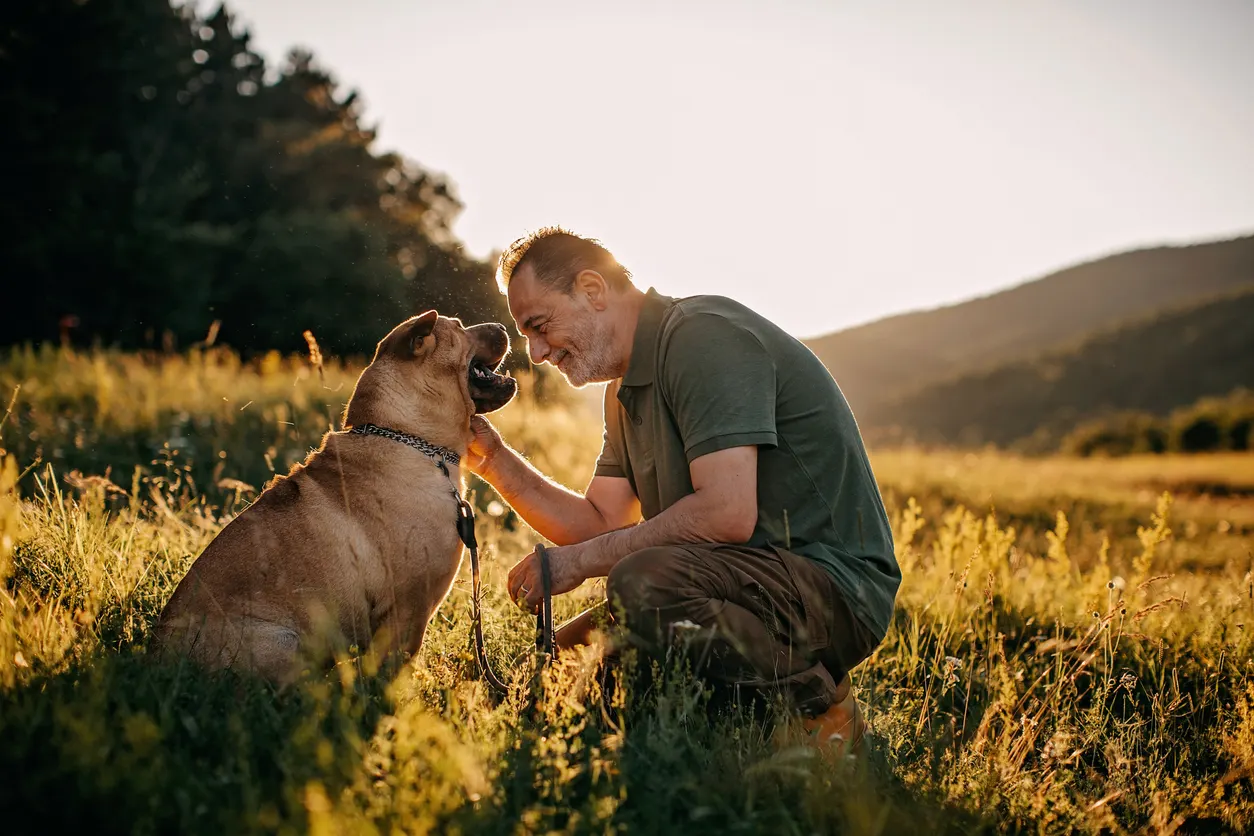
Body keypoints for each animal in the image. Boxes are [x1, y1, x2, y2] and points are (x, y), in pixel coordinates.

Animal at [155, 310, 519, 681]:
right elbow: (394, 668)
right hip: (284, 643)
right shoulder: (410, 608)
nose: (503, 326)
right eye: (459, 328)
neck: (410, 439)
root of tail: (159, 653)